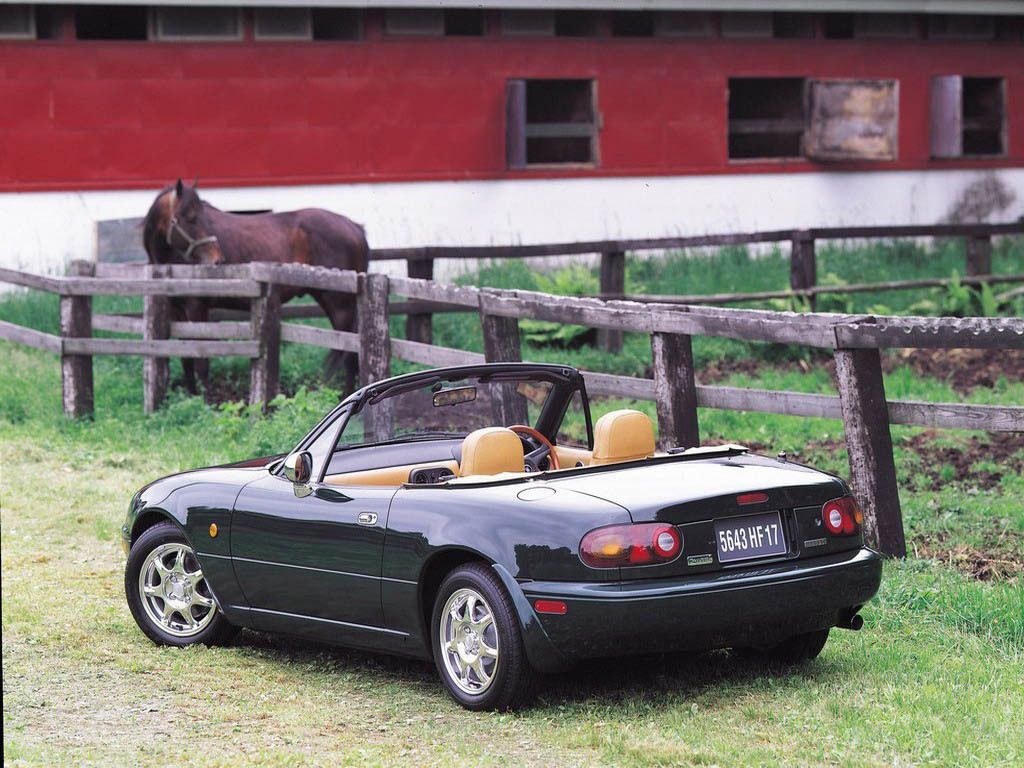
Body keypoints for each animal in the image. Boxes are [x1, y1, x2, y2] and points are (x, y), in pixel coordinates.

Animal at [143, 180, 368, 393]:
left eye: (200, 216)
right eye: (189, 217)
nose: (217, 259)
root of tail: (354, 227)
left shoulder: (197, 309)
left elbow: (201, 361)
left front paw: (205, 400)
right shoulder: (178, 312)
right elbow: (186, 360)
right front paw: (191, 396)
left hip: (340, 306)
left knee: (350, 352)